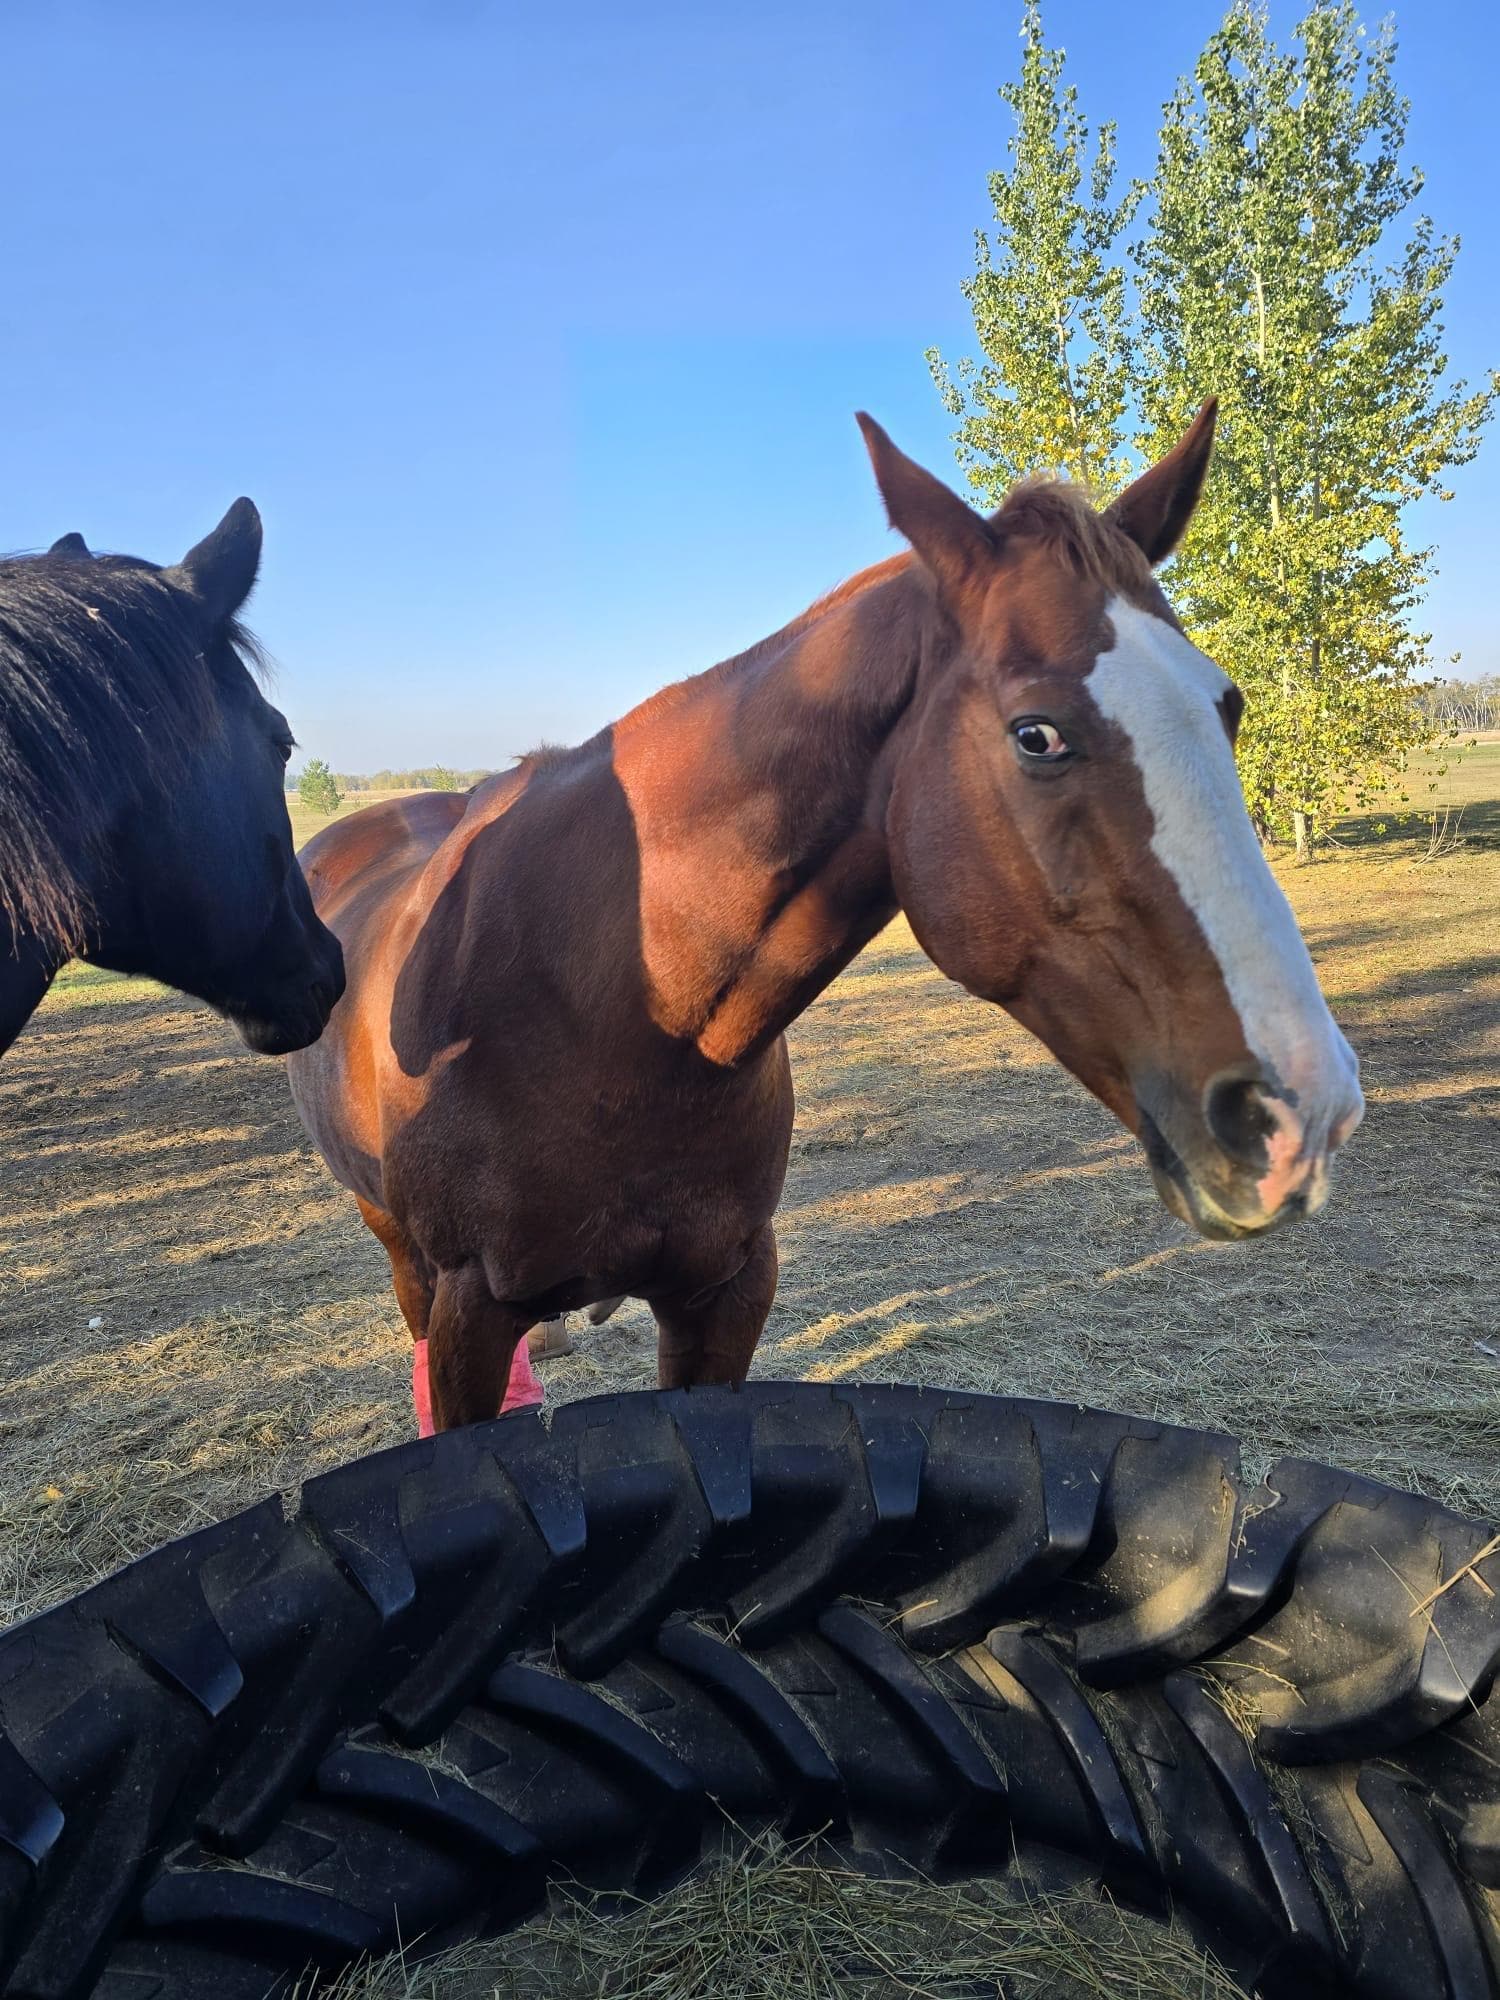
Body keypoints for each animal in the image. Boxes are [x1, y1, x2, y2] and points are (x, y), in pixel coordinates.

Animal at [288, 402, 1364, 1434]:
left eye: (1225, 707)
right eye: (1038, 735)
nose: (1301, 1109)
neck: (617, 1013)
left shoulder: (726, 1293)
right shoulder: (469, 1309)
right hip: (399, 1247)